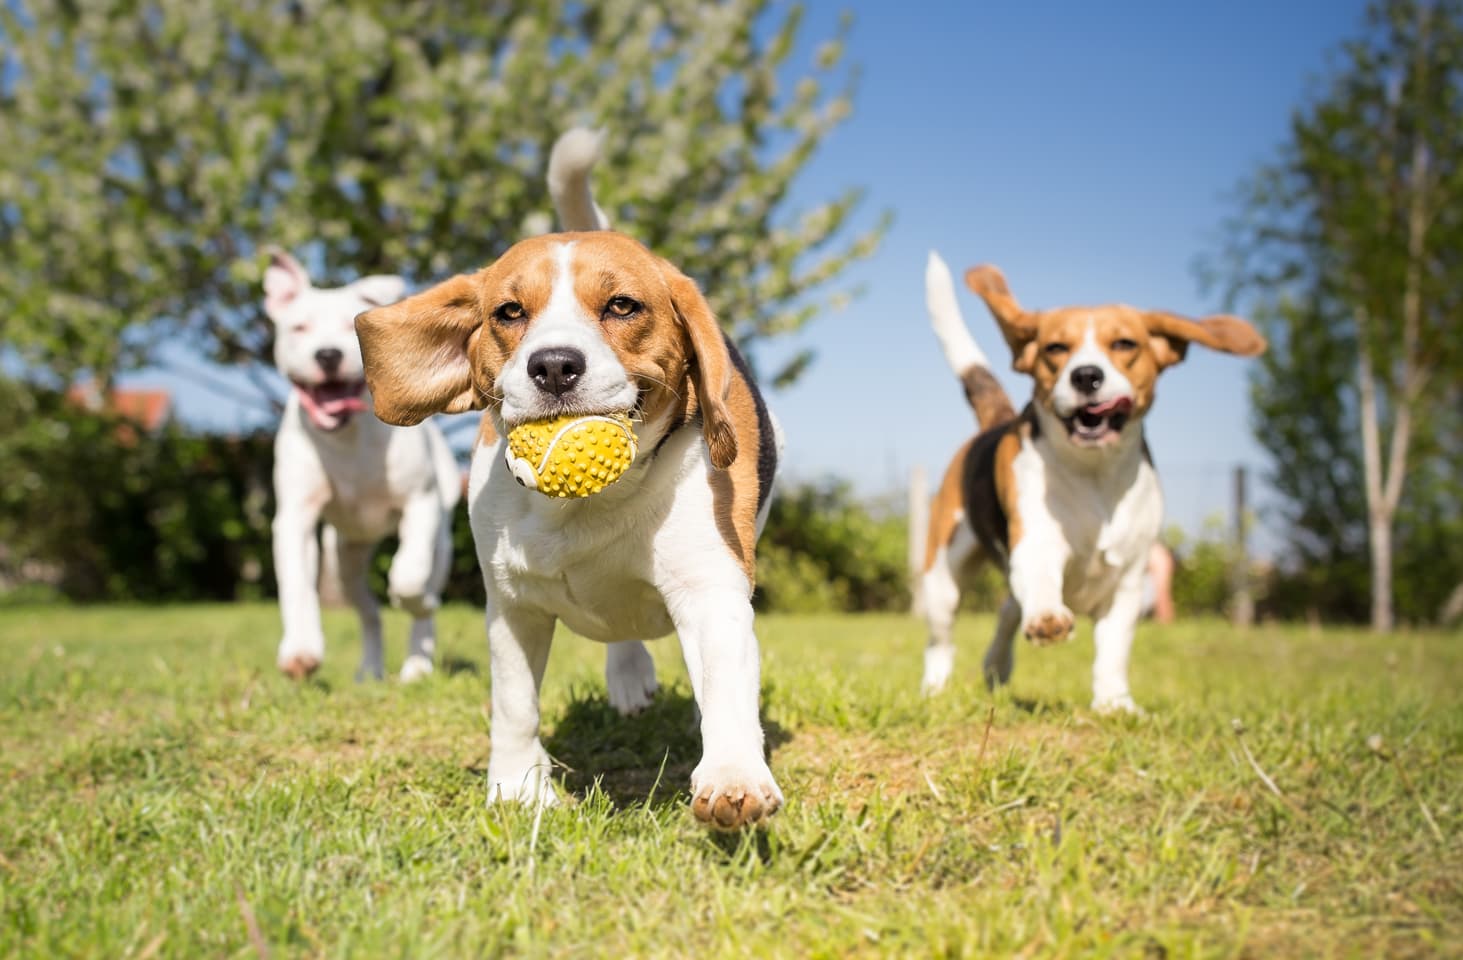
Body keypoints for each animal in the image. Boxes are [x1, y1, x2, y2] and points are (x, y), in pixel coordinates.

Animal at [263, 247, 456, 681]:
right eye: (299, 328)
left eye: (350, 330)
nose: (328, 354)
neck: (347, 436)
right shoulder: (295, 518)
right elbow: (297, 585)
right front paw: (300, 650)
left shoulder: (420, 504)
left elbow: (408, 577)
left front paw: (415, 599)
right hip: (344, 560)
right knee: (369, 612)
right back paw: (369, 669)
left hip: (441, 541)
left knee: (423, 594)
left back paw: (417, 664)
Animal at [352, 130, 784, 831]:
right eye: (508, 312)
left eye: (622, 306)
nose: (554, 365)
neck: (586, 507)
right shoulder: (512, 606)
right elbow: (514, 704)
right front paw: (517, 789)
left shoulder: (710, 590)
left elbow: (724, 689)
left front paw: (733, 777)